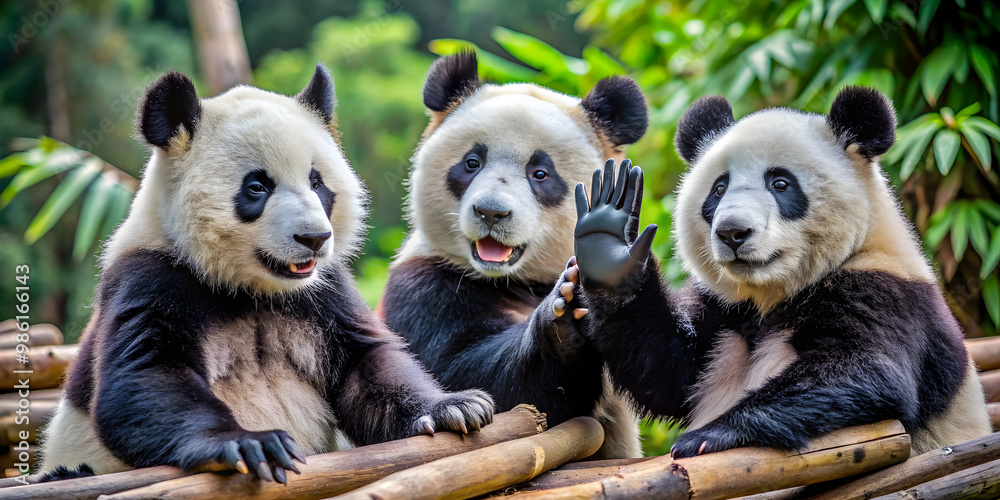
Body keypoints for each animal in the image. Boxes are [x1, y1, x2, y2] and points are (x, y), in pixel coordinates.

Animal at [38, 65, 493, 481]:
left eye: (317, 182)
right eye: (257, 187)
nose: (314, 238)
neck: (252, 288)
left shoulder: (323, 292)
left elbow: (367, 363)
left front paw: (454, 407)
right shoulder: (152, 276)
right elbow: (146, 376)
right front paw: (247, 443)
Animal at [379, 52, 648, 459]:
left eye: (540, 173)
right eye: (472, 163)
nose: (491, 212)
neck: (512, 279)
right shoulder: (423, 284)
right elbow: (477, 381)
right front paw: (563, 321)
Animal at [569, 86, 993, 458]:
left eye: (780, 183)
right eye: (718, 190)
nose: (733, 232)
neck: (773, 293)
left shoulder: (886, 290)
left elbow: (866, 371)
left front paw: (708, 437)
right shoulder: (724, 310)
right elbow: (665, 371)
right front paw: (607, 247)